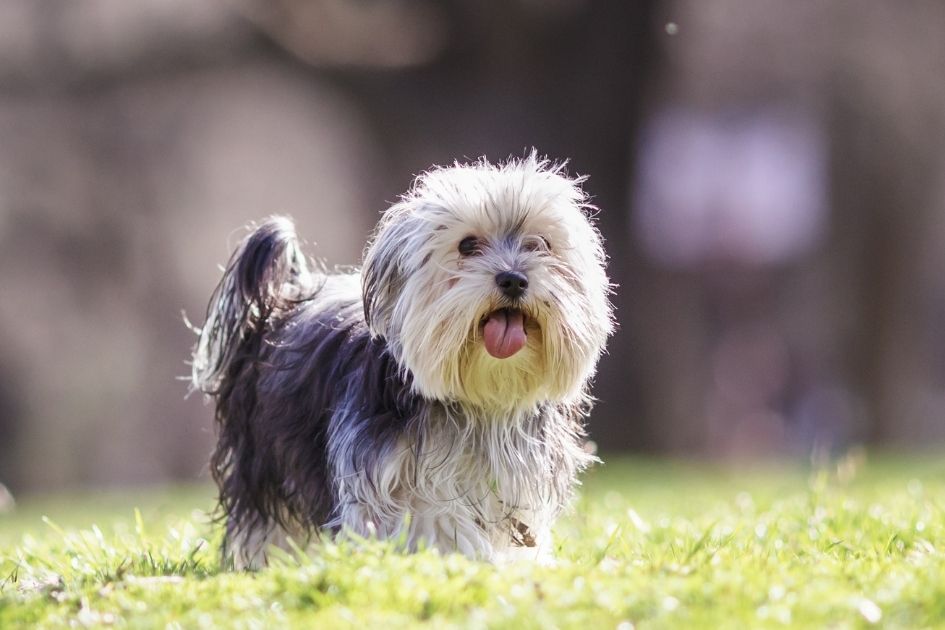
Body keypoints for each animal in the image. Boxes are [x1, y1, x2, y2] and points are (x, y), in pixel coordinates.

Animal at [192, 153, 612, 568]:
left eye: (541, 244)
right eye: (467, 245)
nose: (513, 279)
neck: (482, 403)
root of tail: (282, 301)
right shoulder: (387, 475)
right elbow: (434, 518)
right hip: (263, 457)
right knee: (265, 518)